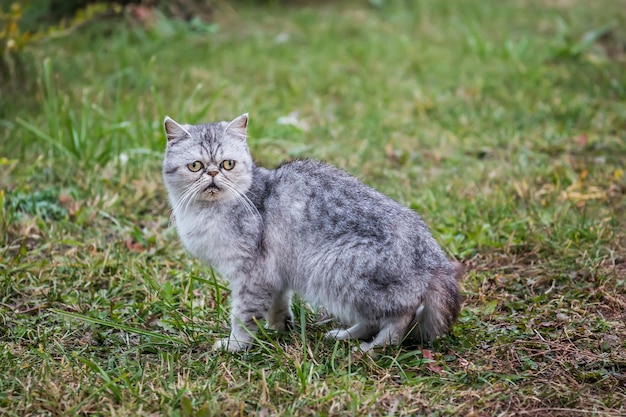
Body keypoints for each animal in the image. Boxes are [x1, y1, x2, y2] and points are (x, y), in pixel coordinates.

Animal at [161, 113, 464, 352]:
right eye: (196, 166)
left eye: (227, 164)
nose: (212, 174)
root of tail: (435, 261)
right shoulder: (273, 273)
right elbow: (278, 304)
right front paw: (279, 328)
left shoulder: (251, 274)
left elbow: (244, 316)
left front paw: (236, 345)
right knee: (372, 319)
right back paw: (345, 336)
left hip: (339, 270)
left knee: (401, 315)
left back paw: (374, 348)